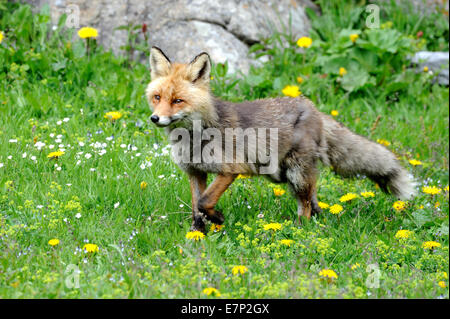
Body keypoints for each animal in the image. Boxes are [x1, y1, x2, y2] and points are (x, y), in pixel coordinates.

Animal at [146, 46, 416, 234]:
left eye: (178, 101)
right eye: (157, 97)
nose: (155, 118)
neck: (194, 139)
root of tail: (313, 108)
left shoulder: (231, 168)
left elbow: (204, 202)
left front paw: (218, 219)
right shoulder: (195, 172)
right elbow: (196, 209)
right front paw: (197, 236)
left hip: (296, 174)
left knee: (305, 206)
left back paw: (299, 232)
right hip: (285, 175)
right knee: (314, 202)